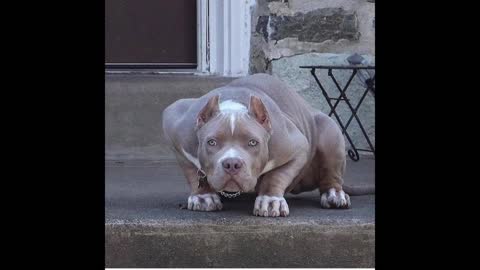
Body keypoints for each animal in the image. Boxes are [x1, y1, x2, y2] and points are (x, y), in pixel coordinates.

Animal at [163, 73, 374, 216]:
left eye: (253, 142)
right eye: (211, 142)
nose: (232, 164)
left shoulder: (297, 147)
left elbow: (277, 175)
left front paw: (270, 200)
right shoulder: (175, 127)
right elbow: (191, 171)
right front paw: (203, 196)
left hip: (330, 132)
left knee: (331, 173)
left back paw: (334, 195)